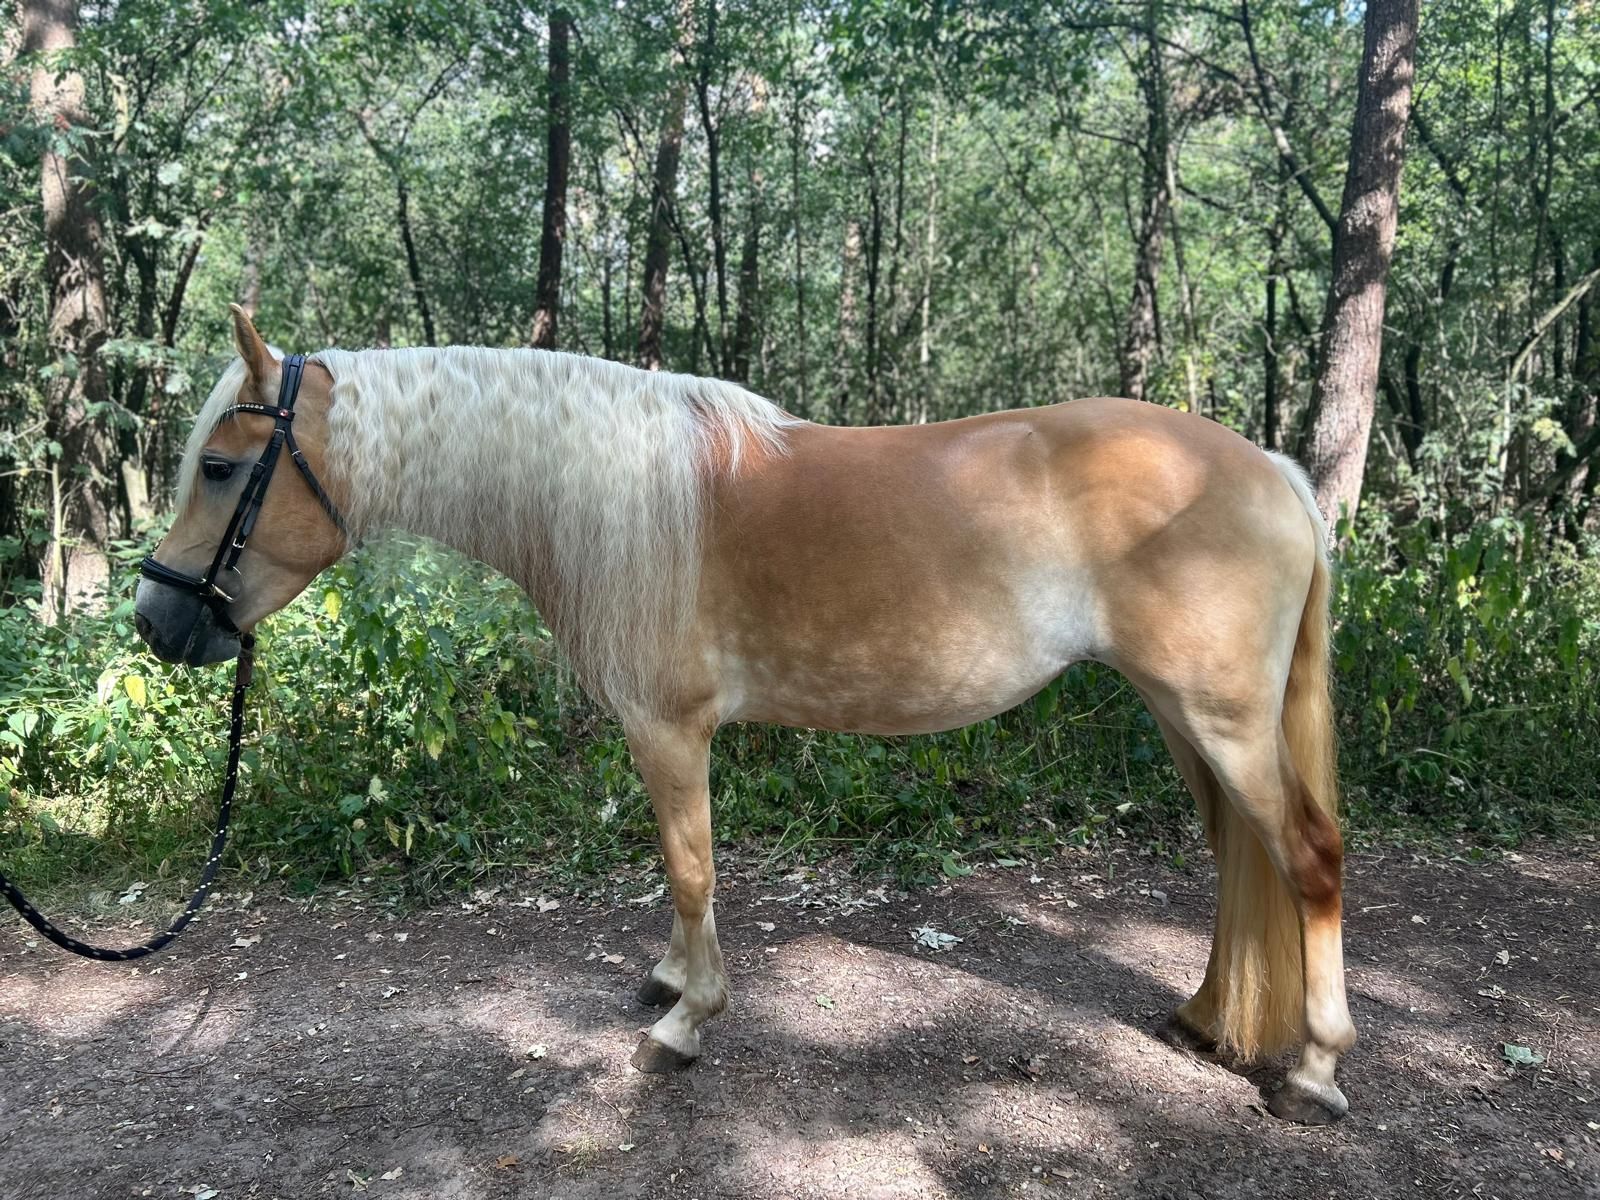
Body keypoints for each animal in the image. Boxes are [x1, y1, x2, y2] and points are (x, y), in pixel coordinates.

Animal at [136, 306, 1357, 1124]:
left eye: (220, 466)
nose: (156, 618)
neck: (623, 496)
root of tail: (1273, 471)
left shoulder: (669, 728)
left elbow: (690, 867)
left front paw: (684, 1024)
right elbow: (680, 873)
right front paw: (675, 980)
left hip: (1223, 721)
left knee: (1306, 857)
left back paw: (1314, 1070)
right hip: (1186, 719)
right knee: (1241, 856)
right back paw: (1208, 1018)